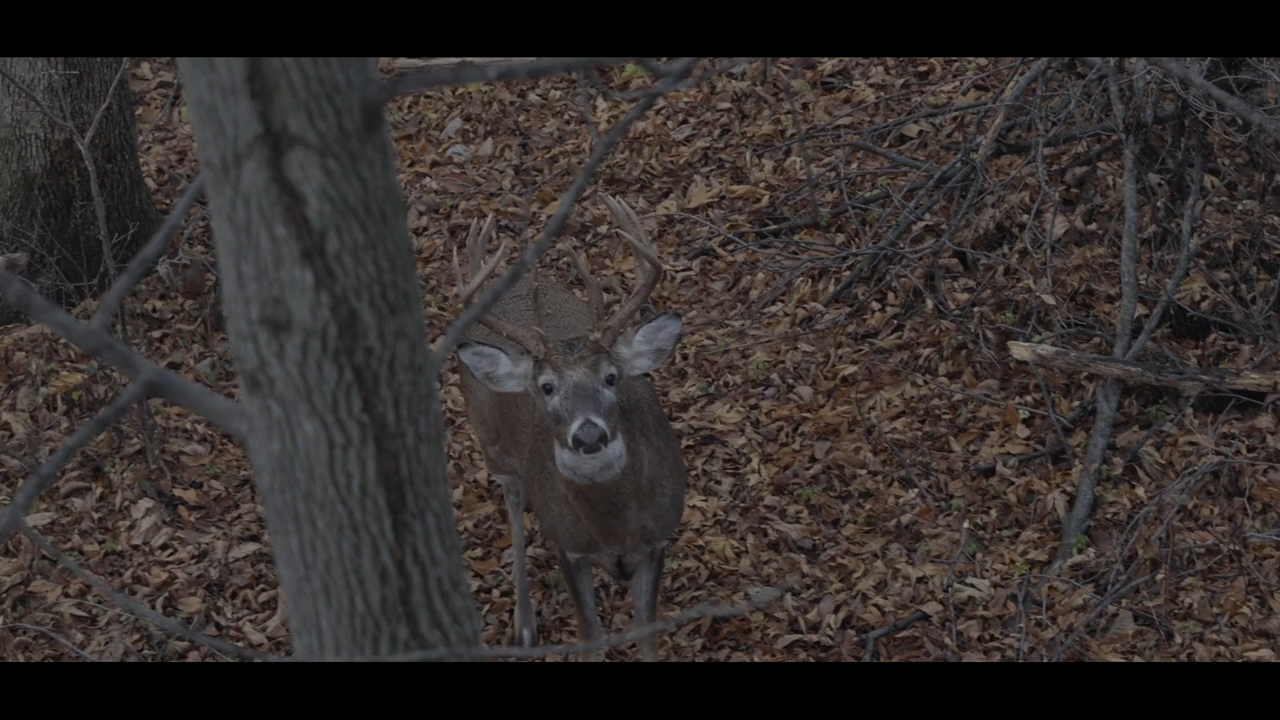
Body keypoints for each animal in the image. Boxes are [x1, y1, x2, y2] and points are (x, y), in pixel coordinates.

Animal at [452, 196, 687, 661]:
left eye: (611, 377)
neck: (614, 529)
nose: (589, 435)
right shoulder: (568, 546)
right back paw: (524, 625)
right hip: (493, 448)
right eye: (546, 387)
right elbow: (589, 636)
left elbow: (647, 633)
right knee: (514, 510)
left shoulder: (658, 541)